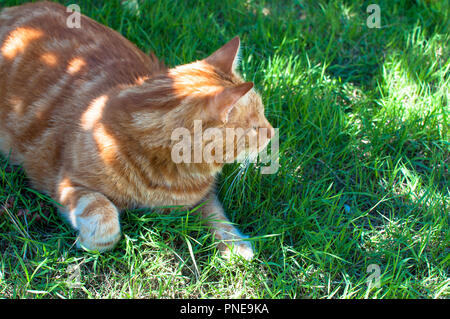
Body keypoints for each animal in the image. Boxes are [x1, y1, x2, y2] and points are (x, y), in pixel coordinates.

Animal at [0, 1, 274, 260]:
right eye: (255, 126)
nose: (272, 132)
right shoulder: (67, 182)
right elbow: (104, 217)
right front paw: (89, 242)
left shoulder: (202, 197)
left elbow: (217, 215)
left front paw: (236, 245)